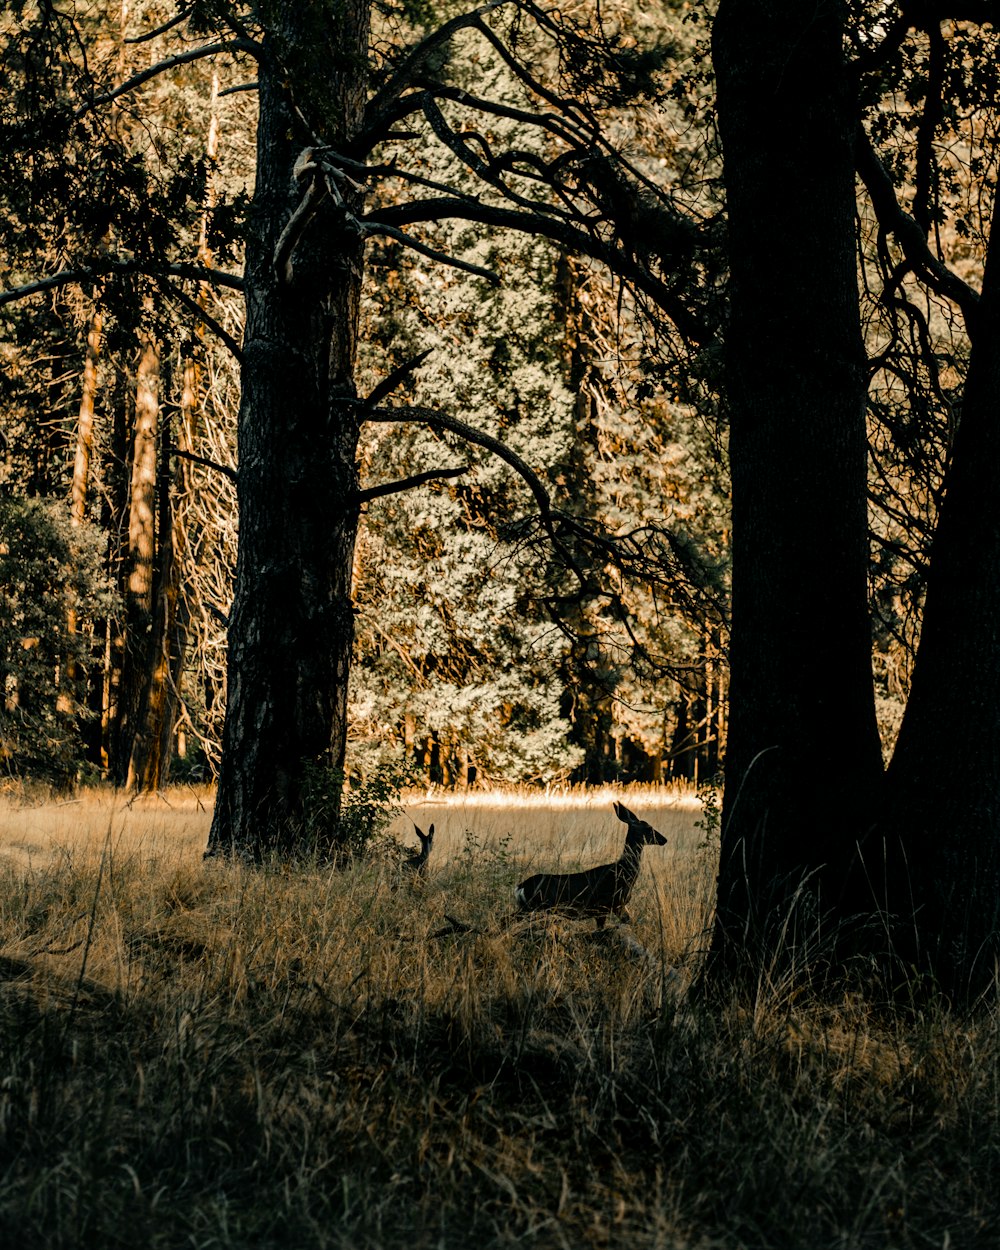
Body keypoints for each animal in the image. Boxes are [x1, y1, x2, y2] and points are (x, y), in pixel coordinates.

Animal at [515, 800, 665, 930]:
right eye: (648, 827)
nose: (664, 839)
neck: (623, 872)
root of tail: (520, 886)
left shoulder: (617, 906)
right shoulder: (604, 905)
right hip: (535, 906)